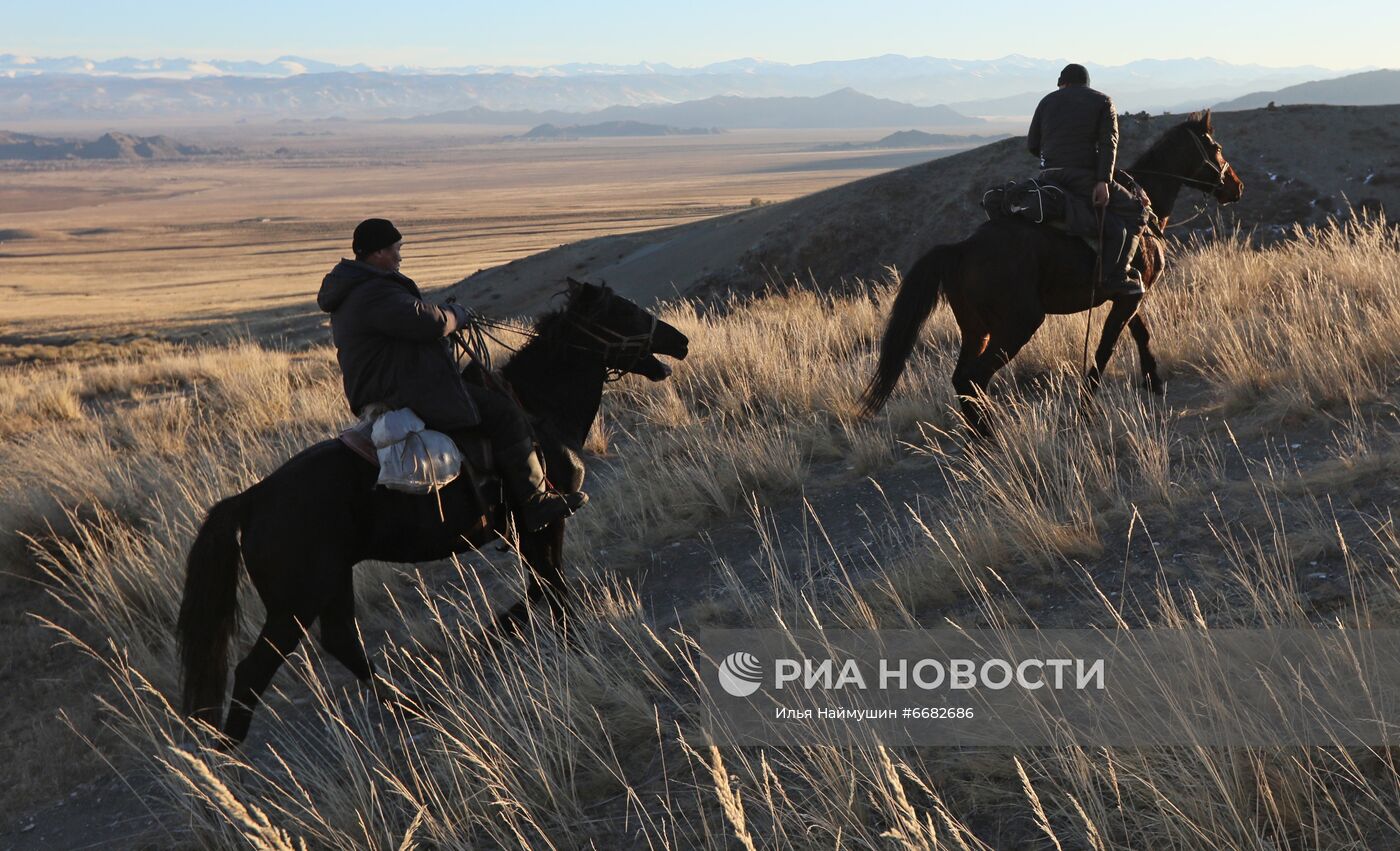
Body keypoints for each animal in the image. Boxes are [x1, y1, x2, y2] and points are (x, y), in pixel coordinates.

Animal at [177, 281, 691, 744]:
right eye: (622, 311)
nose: (680, 340)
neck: (540, 409)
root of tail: (252, 499)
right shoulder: (544, 520)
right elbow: (552, 586)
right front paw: (568, 641)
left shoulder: (530, 532)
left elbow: (538, 587)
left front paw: (493, 633)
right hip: (297, 600)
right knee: (253, 670)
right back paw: (231, 760)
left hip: (331, 582)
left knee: (343, 641)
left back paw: (412, 705)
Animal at [862, 109, 1248, 431]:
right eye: (1215, 147)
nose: (1237, 186)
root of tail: (963, 248)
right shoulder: (1128, 296)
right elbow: (1106, 347)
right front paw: (1087, 406)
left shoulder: (1127, 292)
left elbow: (1139, 333)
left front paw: (1153, 381)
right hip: (1018, 324)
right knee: (975, 378)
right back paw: (992, 434)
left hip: (976, 329)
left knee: (961, 379)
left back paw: (980, 438)